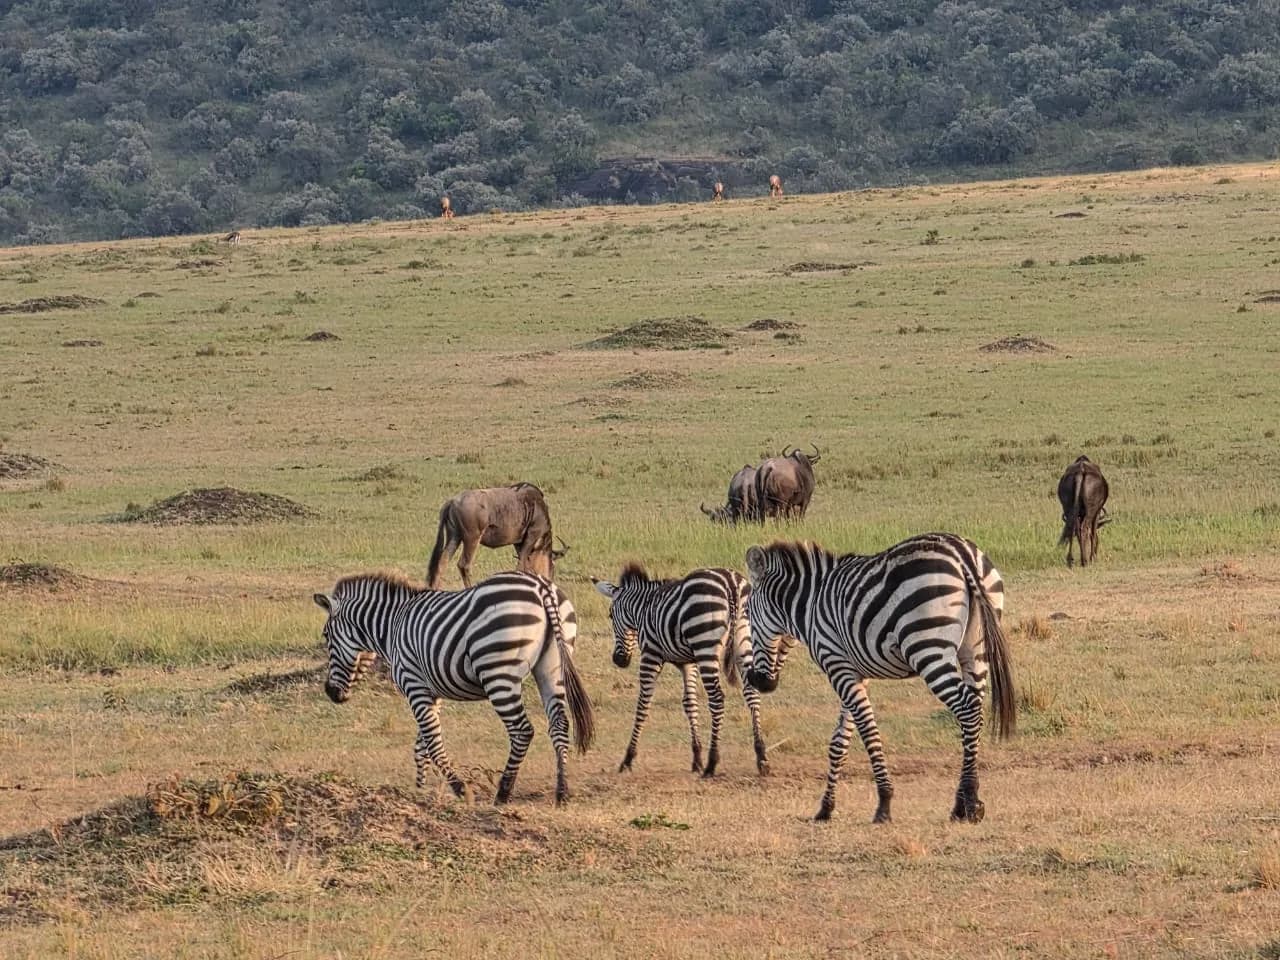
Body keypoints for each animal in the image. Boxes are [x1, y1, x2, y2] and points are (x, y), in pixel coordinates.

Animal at [313, 570, 595, 805]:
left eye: (326, 636)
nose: (331, 693)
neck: (393, 625)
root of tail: (541, 586)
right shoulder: (432, 692)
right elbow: (422, 744)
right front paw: (420, 790)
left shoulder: (413, 684)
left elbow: (432, 742)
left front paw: (459, 789)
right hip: (552, 667)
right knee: (559, 724)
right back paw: (562, 792)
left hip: (498, 672)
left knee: (522, 731)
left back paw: (503, 793)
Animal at [591, 564, 768, 777]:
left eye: (610, 615)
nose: (619, 660)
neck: (643, 609)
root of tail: (731, 584)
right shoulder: (688, 663)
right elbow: (690, 703)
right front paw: (696, 758)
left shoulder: (651, 655)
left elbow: (643, 704)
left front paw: (628, 758)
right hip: (745, 643)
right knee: (752, 694)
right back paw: (761, 757)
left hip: (705, 645)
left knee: (717, 699)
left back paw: (712, 763)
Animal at [743, 533, 1014, 824]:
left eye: (747, 614)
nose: (758, 681)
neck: (811, 604)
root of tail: (961, 551)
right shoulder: (855, 672)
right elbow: (839, 741)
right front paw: (826, 808)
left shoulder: (837, 665)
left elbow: (868, 731)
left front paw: (884, 803)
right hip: (975, 651)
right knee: (974, 712)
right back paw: (961, 804)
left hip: (928, 648)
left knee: (967, 708)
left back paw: (971, 801)